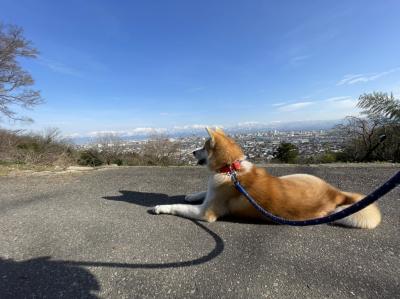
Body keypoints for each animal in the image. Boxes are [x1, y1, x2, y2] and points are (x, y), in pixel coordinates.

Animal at [152, 127, 382, 230]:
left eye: (203, 146)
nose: (192, 152)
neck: (231, 169)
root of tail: (335, 193)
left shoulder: (205, 212)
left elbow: (177, 206)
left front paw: (161, 207)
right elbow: (201, 192)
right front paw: (191, 194)